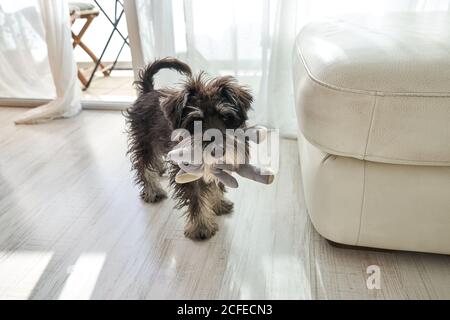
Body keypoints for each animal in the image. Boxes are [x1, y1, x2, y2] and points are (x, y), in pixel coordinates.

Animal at [125, 57, 253, 239]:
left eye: (225, 117)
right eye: (195, 121)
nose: (217, 149)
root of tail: (148, 91)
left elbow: (215, 184)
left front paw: (219, 203)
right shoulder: (187, 173)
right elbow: (196, 198)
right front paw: (201, 226)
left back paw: (159, 168)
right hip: (144, 143)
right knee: (143, 165)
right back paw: (153, 190)